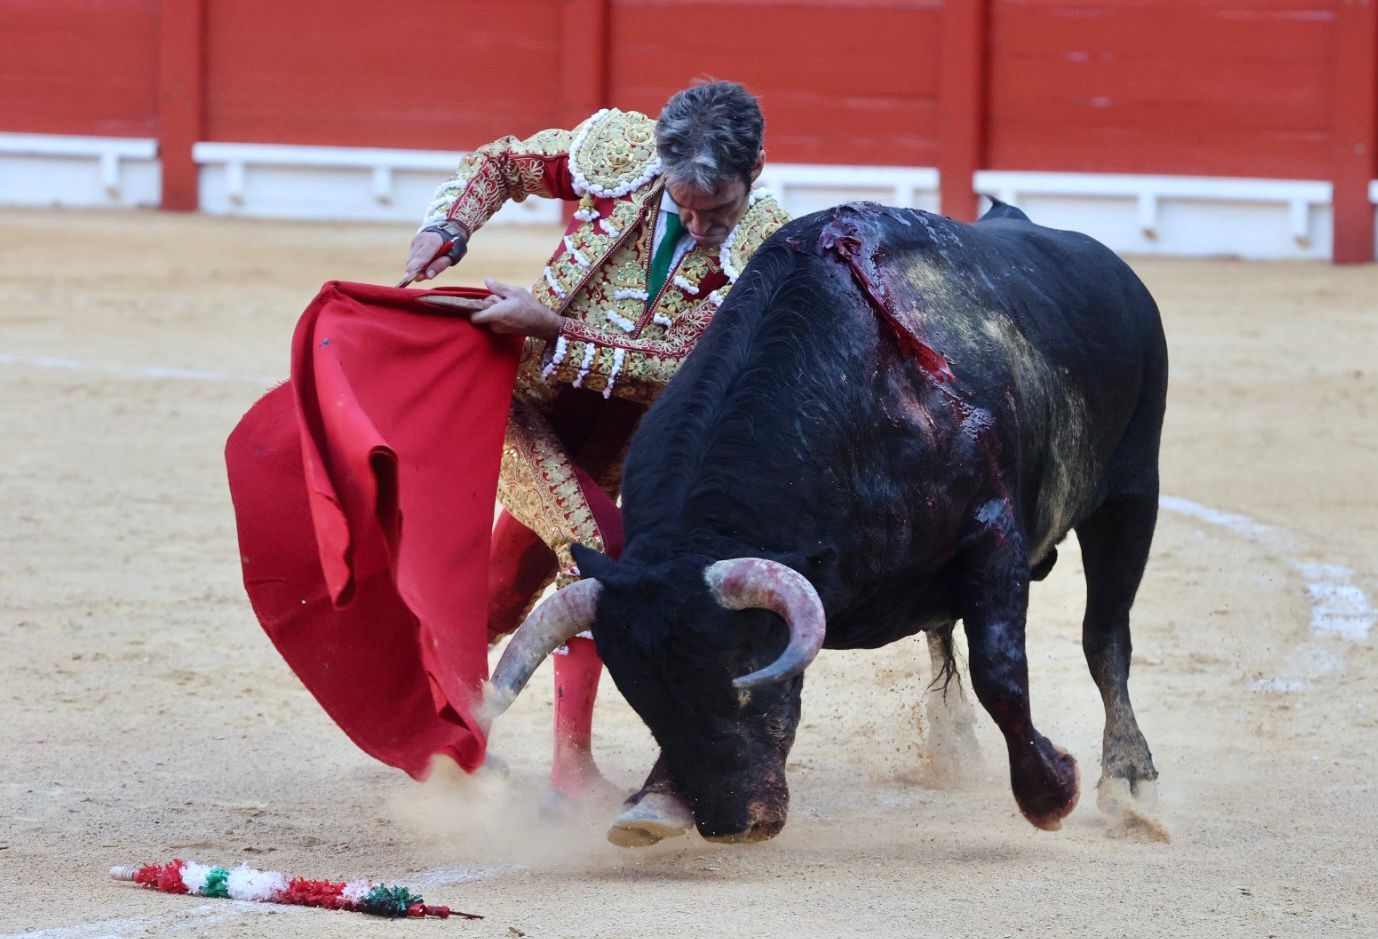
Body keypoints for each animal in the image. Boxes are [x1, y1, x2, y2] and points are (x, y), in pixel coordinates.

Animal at [490, 199, 1168, 843]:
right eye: (644, 702)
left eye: (741, 683)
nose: (734, 825)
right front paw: (656, 800)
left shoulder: (993, 532)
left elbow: (999, 672)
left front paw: (1053, 792)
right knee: (945, 633)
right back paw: (953, 747)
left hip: (1132, 492)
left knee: (1105, 635)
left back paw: (1129, 783)